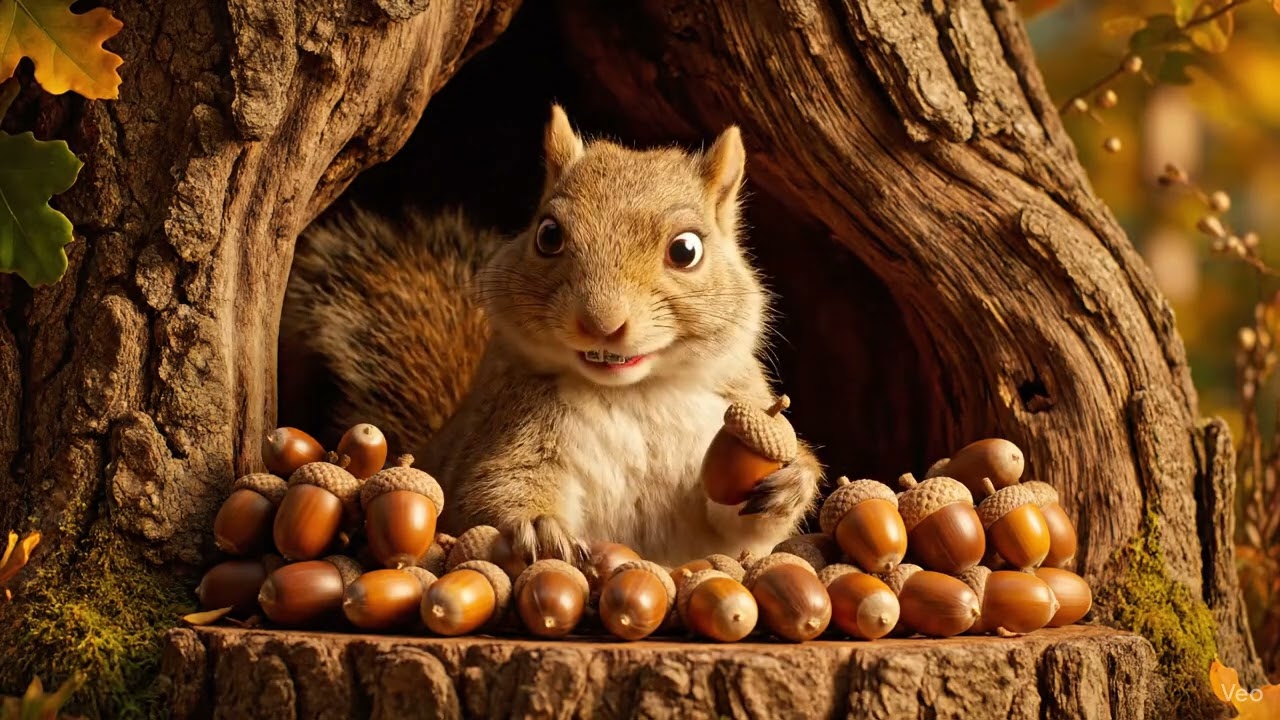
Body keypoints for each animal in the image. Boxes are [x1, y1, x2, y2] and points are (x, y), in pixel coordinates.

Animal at [282, 105, 824, 568]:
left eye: (686, 250)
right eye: (547, 235)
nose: (601, 321)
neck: (633, 394)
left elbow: (735, 533)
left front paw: (791, 480)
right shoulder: (507, 428)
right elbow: (490, 490)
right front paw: (541, 526)